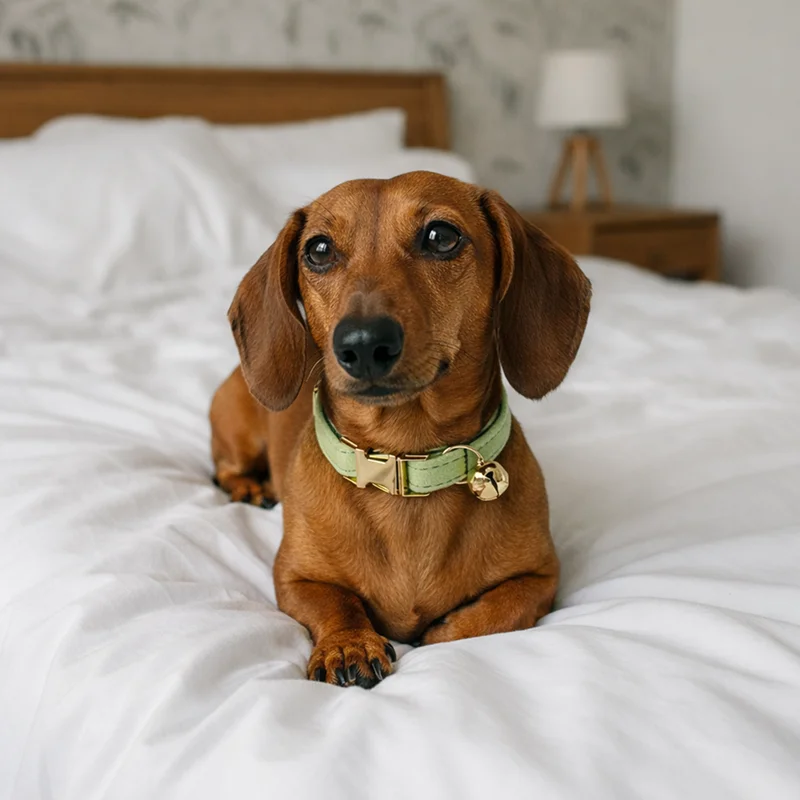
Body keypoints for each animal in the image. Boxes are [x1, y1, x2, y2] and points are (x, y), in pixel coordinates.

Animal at [210, 171, 591, 688]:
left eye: (440, 236)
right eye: (319, 249)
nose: (363, 343)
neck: (405, 461)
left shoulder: (542, 577)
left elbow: (497, 613)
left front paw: (442, 631)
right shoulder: (293, 577)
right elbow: (335, 602)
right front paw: (348, 644)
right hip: (235, 429)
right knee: (225, 467)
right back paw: (249, 487)